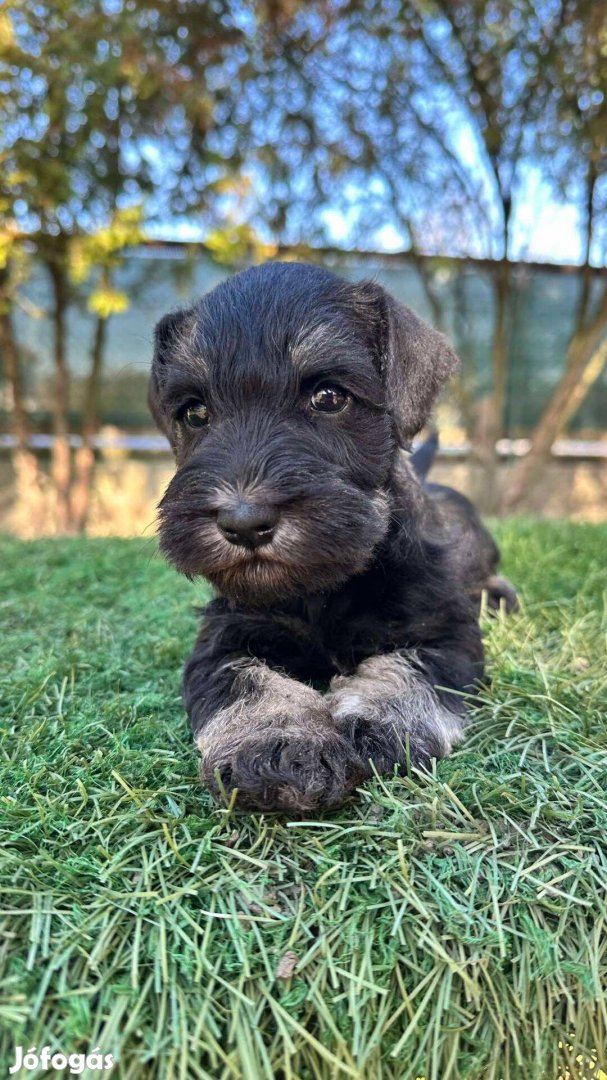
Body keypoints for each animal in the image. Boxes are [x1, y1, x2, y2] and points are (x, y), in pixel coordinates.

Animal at [149, 265, 511, 812]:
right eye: (194, 412)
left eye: (329, 397)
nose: (243, 522)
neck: (326, 587)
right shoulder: (224, 635)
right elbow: (247, 682)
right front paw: (279, 745)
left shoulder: (447, 636)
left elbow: (408, 671)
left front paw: (375, 725)